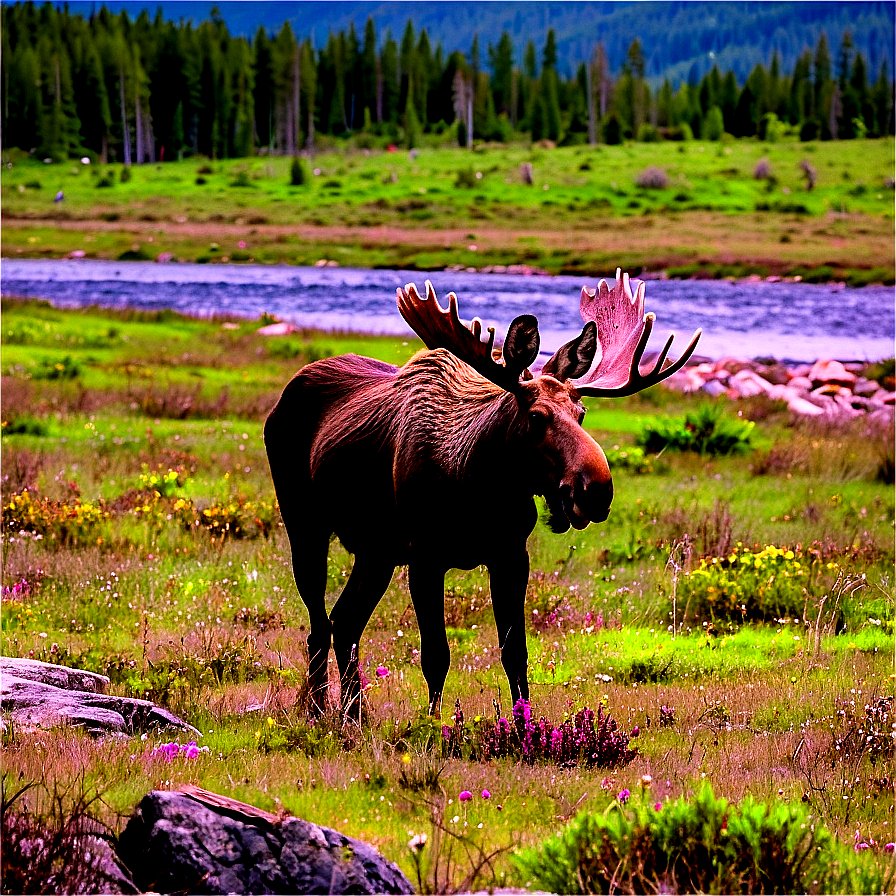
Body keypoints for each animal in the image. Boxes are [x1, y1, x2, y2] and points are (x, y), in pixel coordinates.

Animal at [266, 270, 700, 716]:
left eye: (581, 413)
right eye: (536, 416)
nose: (595, 489)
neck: (481, 491)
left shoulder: (511, 555)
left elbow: (516, 655)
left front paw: (525, 725)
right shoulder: (425, 557)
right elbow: (435, 656)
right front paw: (434, 724)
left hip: (377, 552)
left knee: (345, 621)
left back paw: (353, 715)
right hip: (305, 524)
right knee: (319, 622)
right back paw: (316, 708)